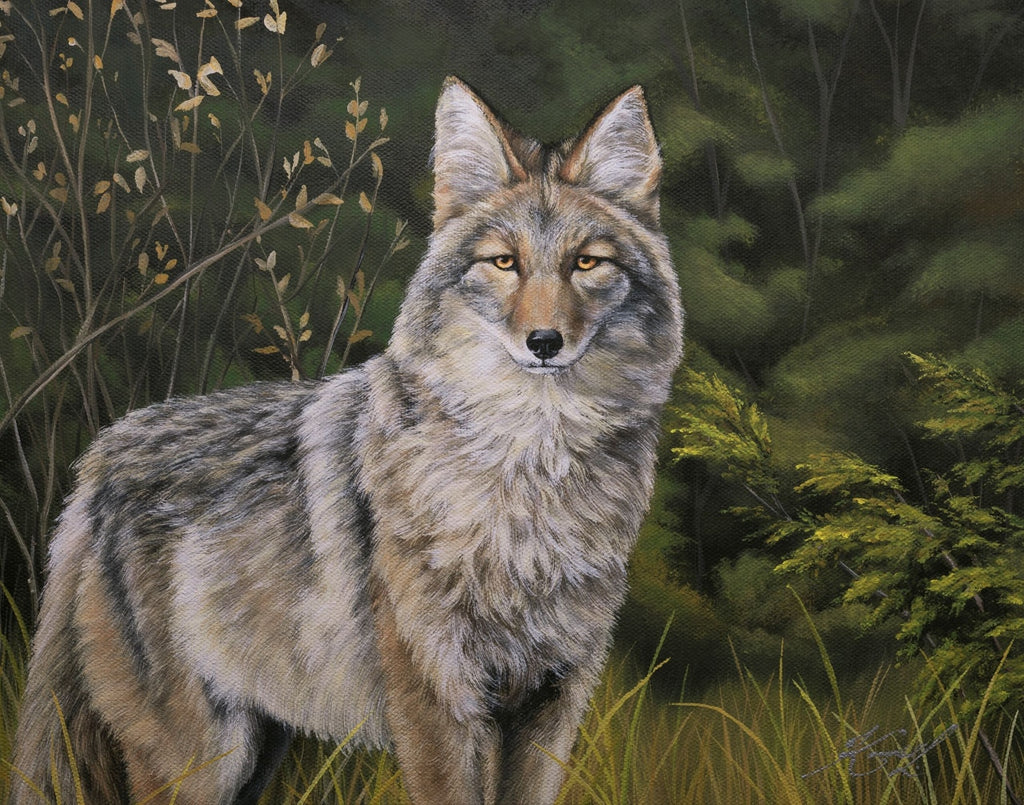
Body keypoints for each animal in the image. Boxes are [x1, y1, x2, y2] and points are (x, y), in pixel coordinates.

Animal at [10, 76, 682, 804]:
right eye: (504, 263)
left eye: (587, 263)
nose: (544, 342)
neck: (530, 480)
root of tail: (102, 455)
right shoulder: (439, 702)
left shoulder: (552, 702)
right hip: (200, 762)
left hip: (255, 754)